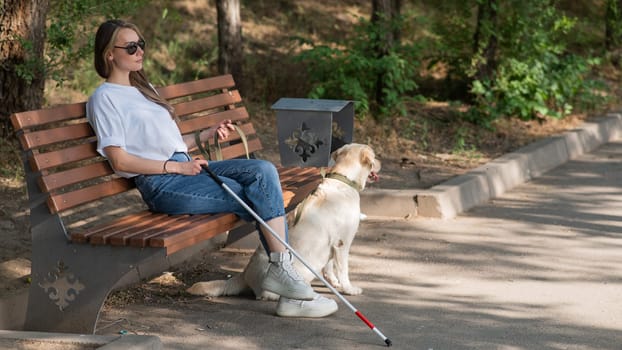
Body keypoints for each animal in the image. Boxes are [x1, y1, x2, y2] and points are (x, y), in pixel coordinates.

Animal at [186, 143, 380, 300]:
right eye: (374, 155)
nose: (380, 162)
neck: (344, 179)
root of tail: (245, 274)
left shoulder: (333, 244)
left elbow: (330, 267)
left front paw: (334, 283)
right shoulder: (342, 244)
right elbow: (343, 270)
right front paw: (349, 289)